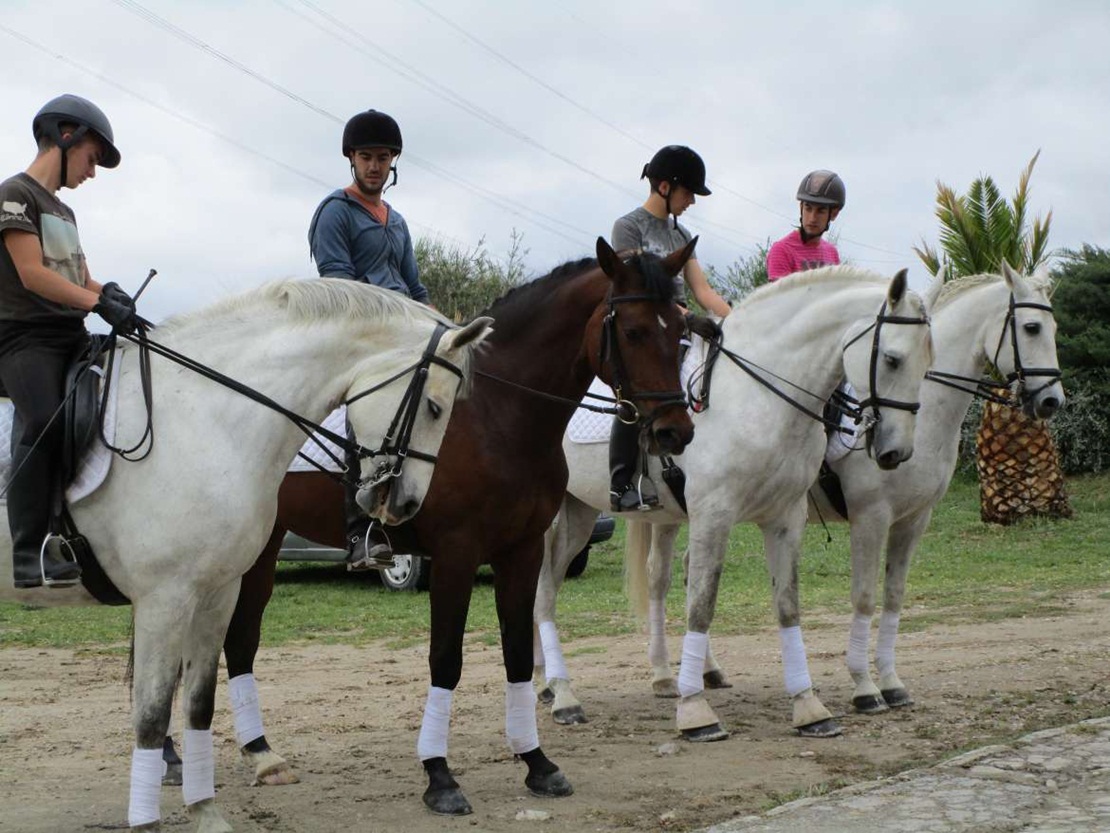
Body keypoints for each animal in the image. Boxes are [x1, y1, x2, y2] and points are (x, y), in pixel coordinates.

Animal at [2, 282, 490, 833]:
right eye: (434, 407)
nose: (406, 505)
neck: (205, 416)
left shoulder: (216, 592)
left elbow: (198, 703)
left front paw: (206, 812)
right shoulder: (164, 600)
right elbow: (150, 715)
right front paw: (148, 821)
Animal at [206, 237, 692, 817]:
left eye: (680, 329)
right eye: (635, 330)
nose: (675, 431)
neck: (497, 417)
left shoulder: (521, 550)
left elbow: (515, 652)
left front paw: (536, 762)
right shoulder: (456, 555)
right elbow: (446, 660)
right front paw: (439, 775)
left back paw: (235, 757)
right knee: (230, 639)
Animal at [528, 265, 936, 737]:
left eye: (929, 361)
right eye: (892, 359)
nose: (895, 452)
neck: (758, 397)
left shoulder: (785, 518)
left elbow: (787, 607)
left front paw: (809, 707)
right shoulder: (713, 516)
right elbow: (701, 607)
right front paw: (695, 713)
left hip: (581, 511)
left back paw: (549, 684)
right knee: (543, 590)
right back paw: (562, 695)